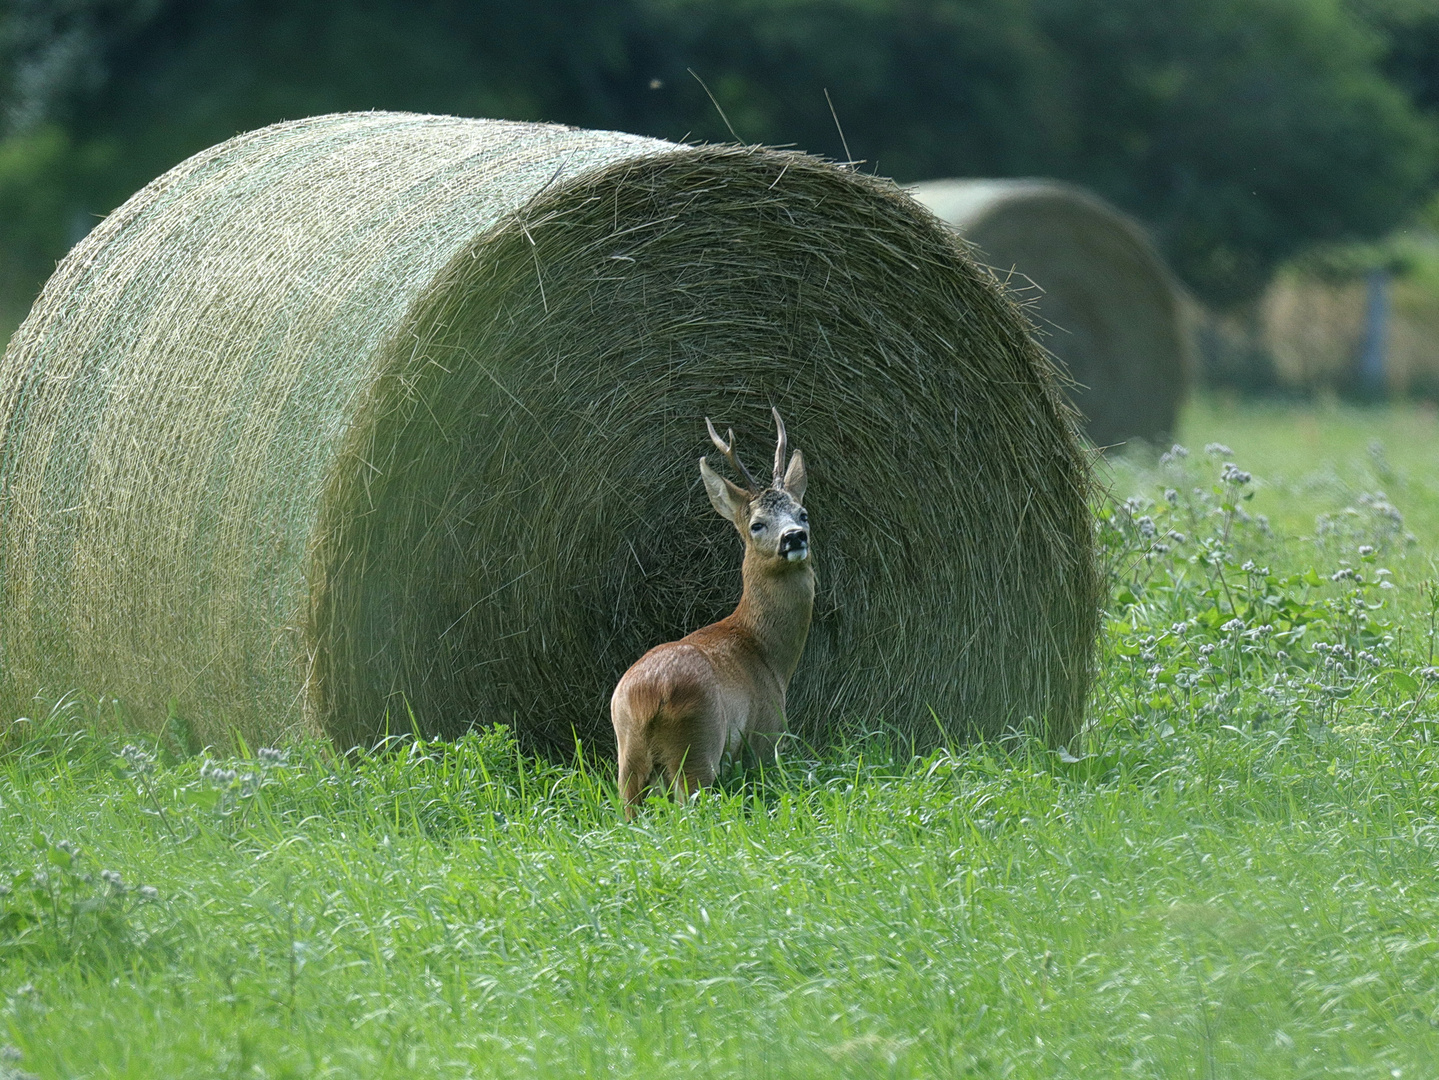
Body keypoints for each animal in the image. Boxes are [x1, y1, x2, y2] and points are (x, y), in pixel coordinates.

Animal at [607, 408, 811, 816]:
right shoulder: (765, 734)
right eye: (757, 524)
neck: (766, 652)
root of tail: (648, 696)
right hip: (699, 744)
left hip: (628, 758)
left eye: (803, 513)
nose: (794, 537)